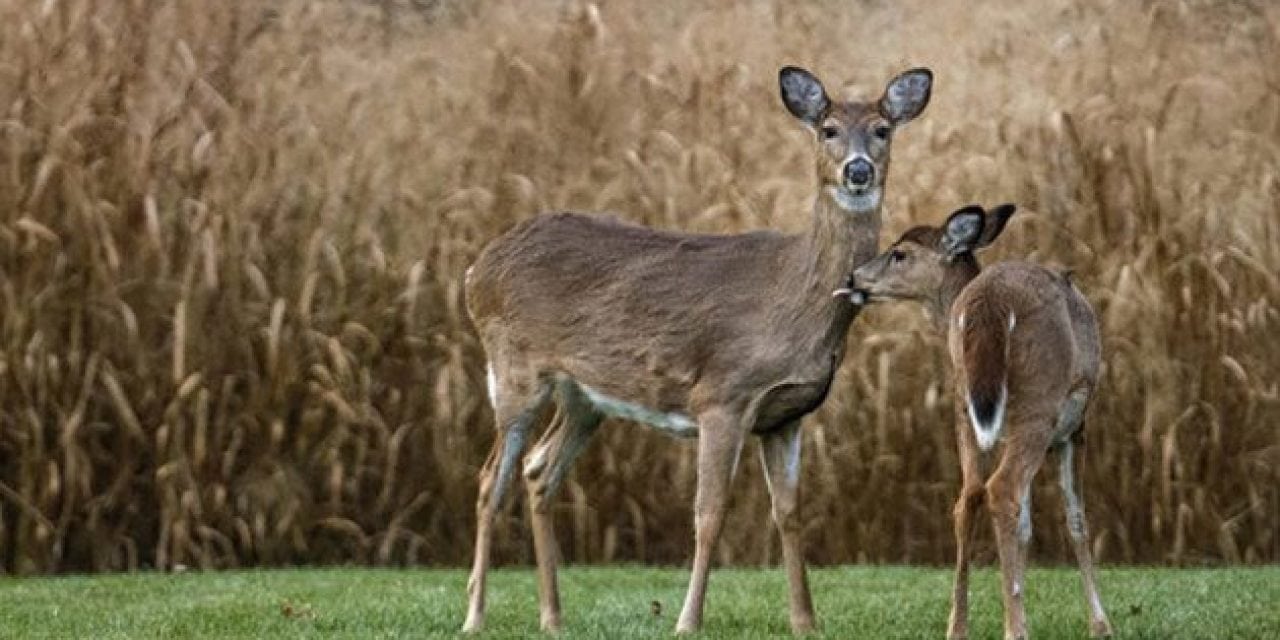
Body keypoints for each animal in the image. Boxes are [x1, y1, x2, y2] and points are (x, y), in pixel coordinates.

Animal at [460, 66, 931, 634]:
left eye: (882, 130)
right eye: (829, 130)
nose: (857, 170)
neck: (797, 298)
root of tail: (476, 268)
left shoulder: (787, 415)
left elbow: (790, 514)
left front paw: (805, 622)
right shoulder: (722, 396)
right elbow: (709, 512)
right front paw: (687, 621)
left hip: (584, 397)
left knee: (538, 470)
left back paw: (553, 618)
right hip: (514, 369)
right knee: (490, 479)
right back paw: (475, 616)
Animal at [839, 206, 1111, 640]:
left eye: (899, 254)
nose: (852, 278)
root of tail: (989, 303)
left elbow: (1028, 526)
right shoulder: (1074, 428)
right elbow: (1076, 518)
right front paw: (1100, 624)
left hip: (964, 404)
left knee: (968, 496)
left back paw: (959, 626)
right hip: (1039, 402)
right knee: (1001, 490)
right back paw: (1013, 630)